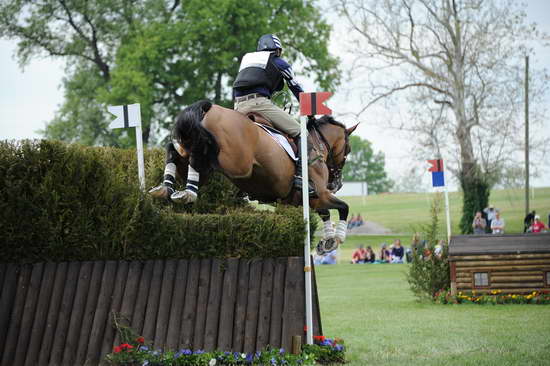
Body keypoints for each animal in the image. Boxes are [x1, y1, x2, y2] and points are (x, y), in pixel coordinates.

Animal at [153, 100, 360, 253]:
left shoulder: (305, 200)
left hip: (196, 155)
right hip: (233, 163)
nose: (336, 184)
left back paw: (167, 189)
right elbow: (344, 207)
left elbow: (325, 212)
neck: (317, 145)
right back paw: (187, 193)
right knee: (199, 155)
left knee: (175, 151)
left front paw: (327, 241)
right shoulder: (320, 194)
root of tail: (209, 109)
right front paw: (337, 238)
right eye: (348, 150)